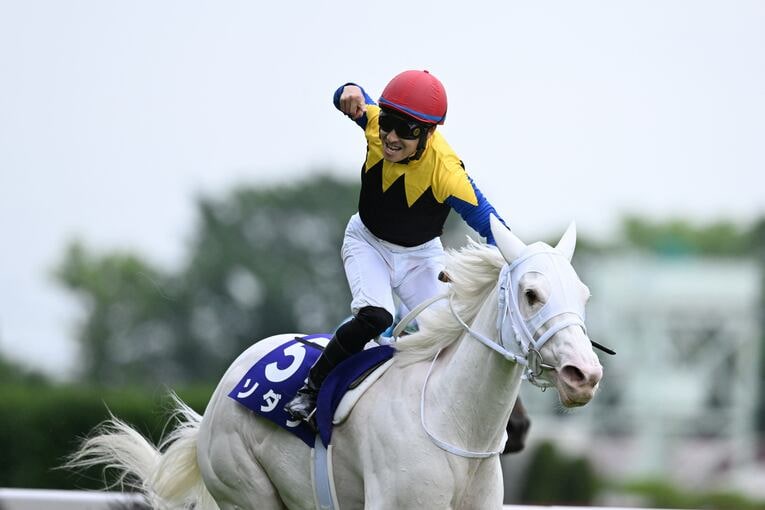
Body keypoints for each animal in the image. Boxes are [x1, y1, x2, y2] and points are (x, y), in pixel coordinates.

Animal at [68, 215, 604, 509]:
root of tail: (220, 395)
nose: (585, 375)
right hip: (247, 491)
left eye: (583, 293)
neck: (453, 425)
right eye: (531, 294)